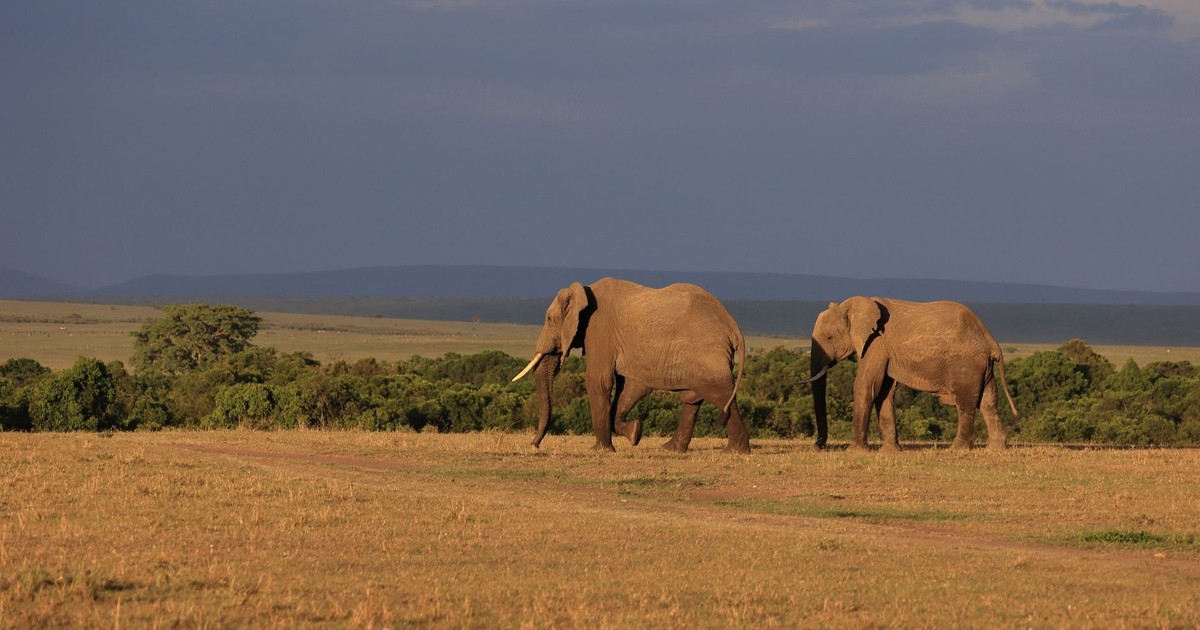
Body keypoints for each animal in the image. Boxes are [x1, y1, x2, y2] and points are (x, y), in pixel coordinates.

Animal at [512, 277, 750, 453]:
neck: (583, 292)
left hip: (707, 352)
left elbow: (598, 381)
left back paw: (736, 451)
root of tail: (733, 325)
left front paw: (600, 450)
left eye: (549, 319)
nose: (534, 444)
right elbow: (630, 387)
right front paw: (635, 433)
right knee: (693, 398)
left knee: (720, 394)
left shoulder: (599, 330)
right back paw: (670, 450)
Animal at [805, 297, 1018, 450]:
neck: (851, 307)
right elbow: (885, 393)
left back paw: (956, 449)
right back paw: (996, 449)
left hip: (966, 364)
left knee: (966, 403)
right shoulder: (884, 350)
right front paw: (890, 452)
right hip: (982, 367)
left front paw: (855, 451)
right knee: (989, 402)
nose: (818, 446)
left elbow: (866, 386)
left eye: (829, 337)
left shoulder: (876, 344)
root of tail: (991, 340)